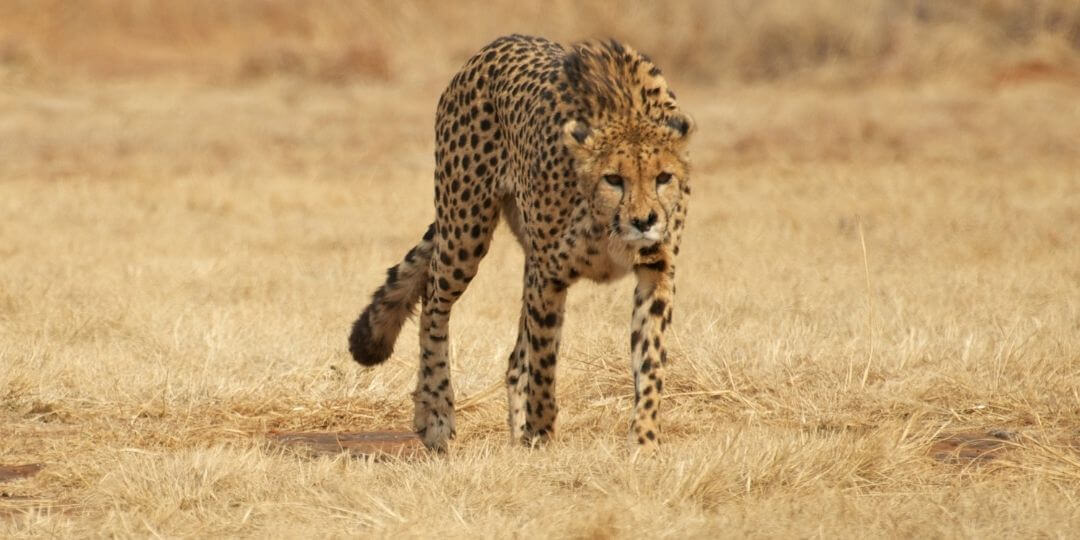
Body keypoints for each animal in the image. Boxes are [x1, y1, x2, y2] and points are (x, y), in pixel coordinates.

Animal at [348, 34, 694, 452]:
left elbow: (650, 362)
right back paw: (438, 413)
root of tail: (499, 42)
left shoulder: (655, 270)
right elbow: (544, 365)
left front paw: (644, 441)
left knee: (514, 357)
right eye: (614, 178)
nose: (645, 221)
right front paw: (541, 437)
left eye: (663, 177)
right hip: (466, 231)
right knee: (433, 302)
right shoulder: (550, 276)